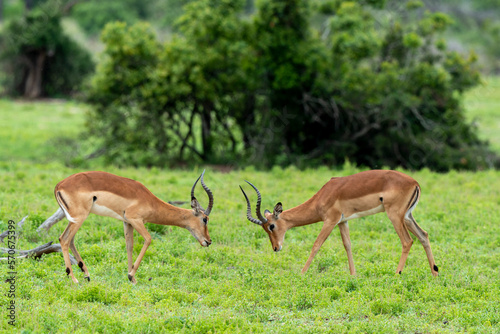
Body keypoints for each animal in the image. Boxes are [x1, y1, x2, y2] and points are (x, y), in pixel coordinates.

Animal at [52, 171, 213, 284]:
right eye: (205, 219)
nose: (208, 241)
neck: (149, 200)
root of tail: (59, 185)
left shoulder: (127, 222)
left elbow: (129, 246)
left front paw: (132, 278)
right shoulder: (135, 220)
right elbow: (148, 239)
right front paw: (131, 275)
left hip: (75, 219)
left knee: (69, 240)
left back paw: (86, 274)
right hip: (80, 217)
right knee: (64, 239)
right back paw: (74, 279)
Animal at [240, 170, 440, 276]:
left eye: (271, 226)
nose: (276, 248)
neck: (323, 196)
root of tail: (414, 182)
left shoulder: (330, 221)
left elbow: (316, 245)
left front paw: (301, 273)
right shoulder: (343, 222)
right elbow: (348, 245)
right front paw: (353, 275)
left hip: (395, 216)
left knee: (407, 241)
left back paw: (396, 275)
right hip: (407, 216)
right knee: (423, 235)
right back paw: (435, 273)